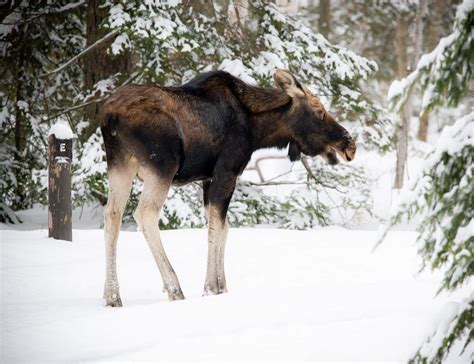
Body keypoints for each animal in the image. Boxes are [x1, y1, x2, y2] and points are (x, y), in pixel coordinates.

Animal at [100, 69, 356, 308]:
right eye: (319, 111)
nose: (349, 143)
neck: (258, 130)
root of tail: (110, 116)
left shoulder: (207, 178)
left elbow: (223, 227)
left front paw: (222, 287)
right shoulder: (226, 171)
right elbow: (216, 227)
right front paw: (211, 288)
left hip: (120, 163)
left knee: (113, 214)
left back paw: (112, 296)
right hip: (162, 166)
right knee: (145, 214)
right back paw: (174, 288)